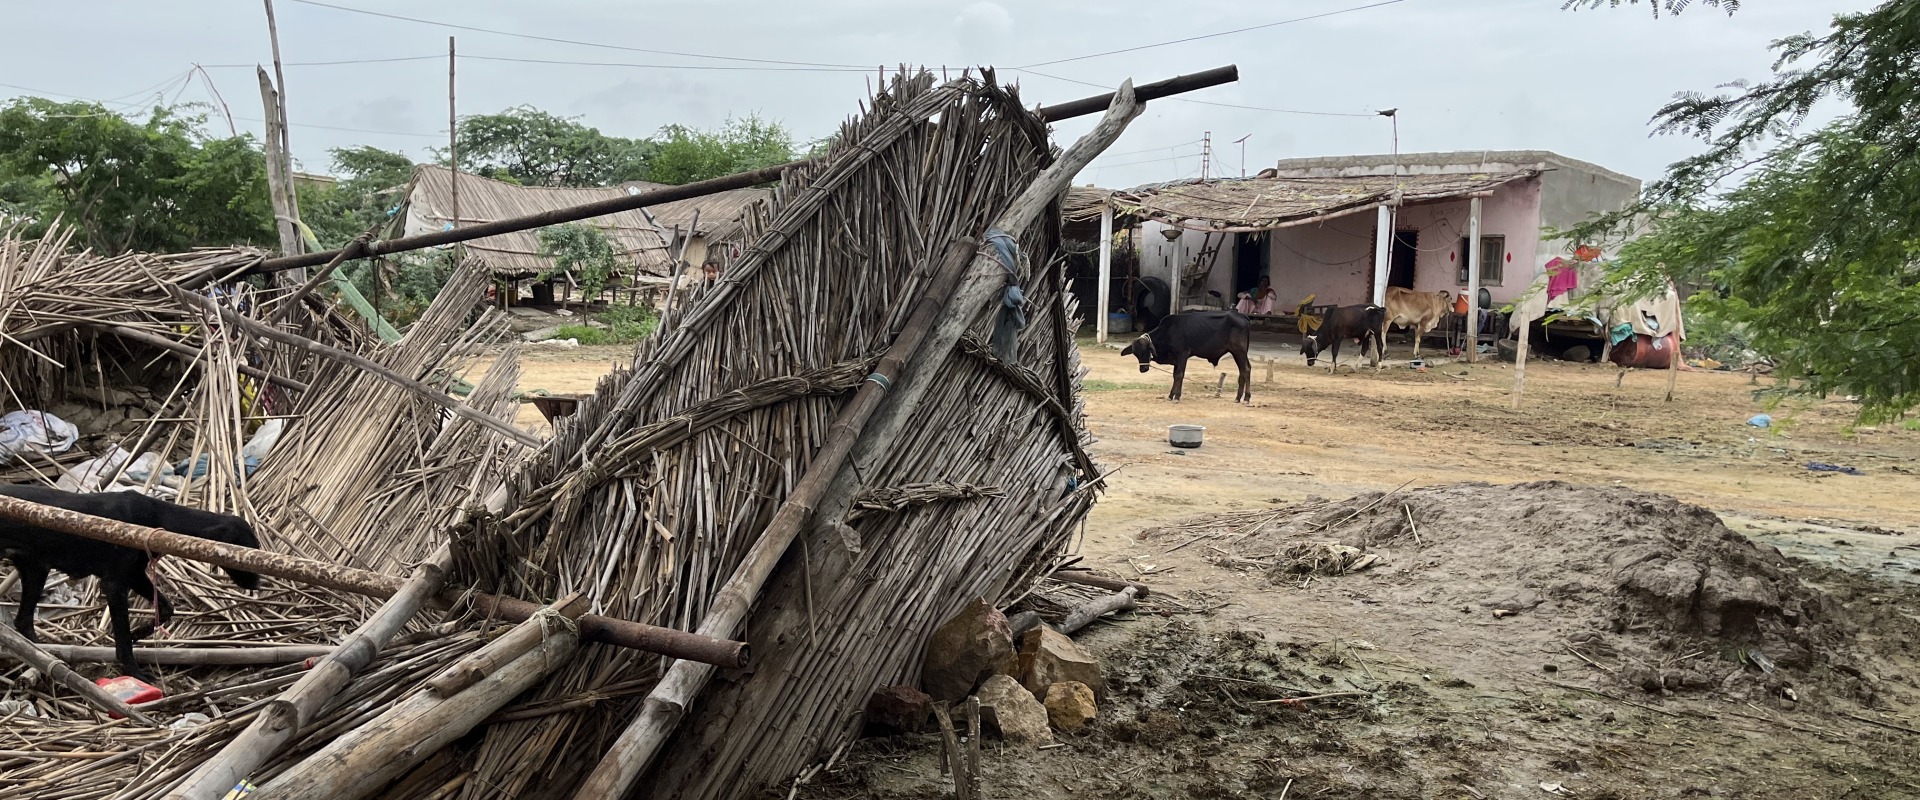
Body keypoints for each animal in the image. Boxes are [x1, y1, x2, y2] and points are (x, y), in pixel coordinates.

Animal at [1121, 308, 1251, 402]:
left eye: (1146, 350)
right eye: (1135, 353)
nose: (1143, 369)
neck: (1168, 331)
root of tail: (1242, 316)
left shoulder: (1183, 354)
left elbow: (1179, 375)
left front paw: (1177, 397)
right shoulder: (1175, 359)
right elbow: (1174, 376)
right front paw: (1171, 395)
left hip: (1239, 351)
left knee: (1245, 369)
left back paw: (1244, 398)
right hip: (1237, 353)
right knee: (1244, 370)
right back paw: (1240, 397)